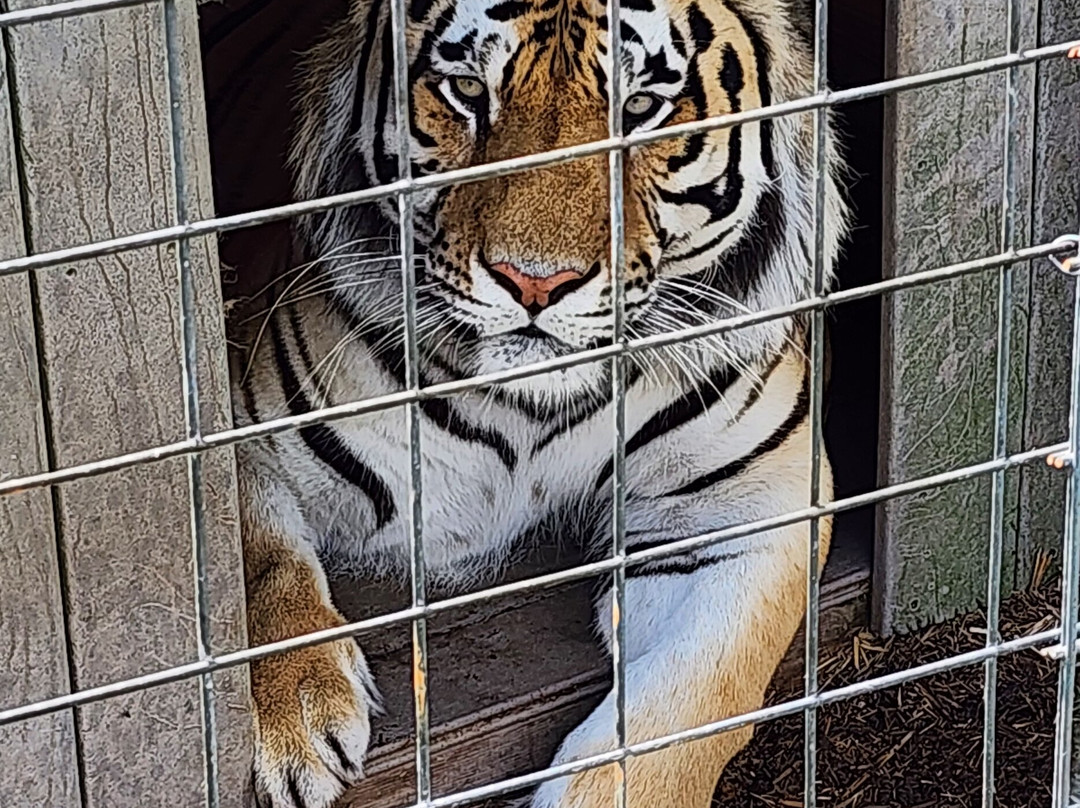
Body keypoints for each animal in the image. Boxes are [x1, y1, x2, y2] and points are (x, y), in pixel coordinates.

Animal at [230, 0, 849, 803]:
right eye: (468, 90)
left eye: (639, 108)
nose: (534, 283)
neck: (529, 410)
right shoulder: (242, 418)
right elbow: (251, 557)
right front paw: (292, 716)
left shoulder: (752, 505)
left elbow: (694, 704)